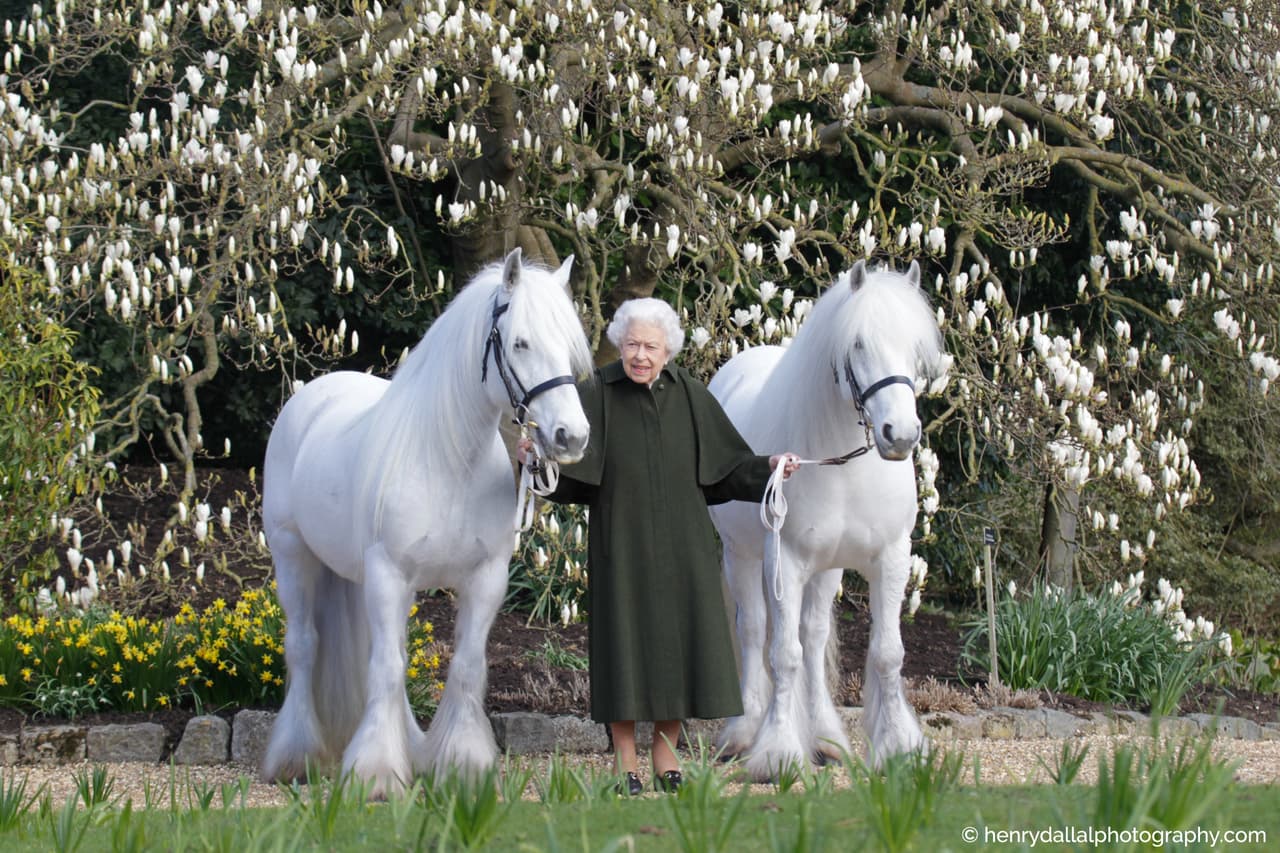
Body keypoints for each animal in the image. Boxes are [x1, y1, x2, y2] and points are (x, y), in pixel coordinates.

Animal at [260, 248, 592, 797]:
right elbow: (386, 669)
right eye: (520, 342)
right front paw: (375, 774)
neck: (448, 461)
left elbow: (464, 667)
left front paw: (462, 765)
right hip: (294, 557)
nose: (572, 437)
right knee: (305, 647)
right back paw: (296, 757)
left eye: (568, 347)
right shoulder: (389, 574)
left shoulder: (484, 579)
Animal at [707, 259, 943, 780]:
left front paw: (897, 746)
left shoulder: (890, 558)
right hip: (742, 557)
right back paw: (743, 732)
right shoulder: (786, 561)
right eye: (857, 344)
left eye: (915, 348)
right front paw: (777, 752)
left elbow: (886, 653)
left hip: (827, 568)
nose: (901, 434)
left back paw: (825, 738)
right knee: (754, 630)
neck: (844, 465)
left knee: (813, 639)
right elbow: (783, 654)